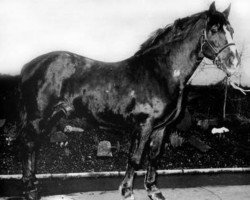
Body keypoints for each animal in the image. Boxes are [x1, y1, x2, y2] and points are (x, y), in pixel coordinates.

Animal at [19, 2, 238, 200]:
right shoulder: (144, 126)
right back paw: (30, 189)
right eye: (214, 30)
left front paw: (153, 190)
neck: (160, 73)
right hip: (39, 118)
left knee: (33, 145)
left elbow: (154, 156)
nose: (234, 63)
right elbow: (135, 159)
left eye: (231, 30)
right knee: (29, 145)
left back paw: (33, 184)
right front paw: (127, 192)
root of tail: (30, 66)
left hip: (53, 116)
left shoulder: (160, 128)